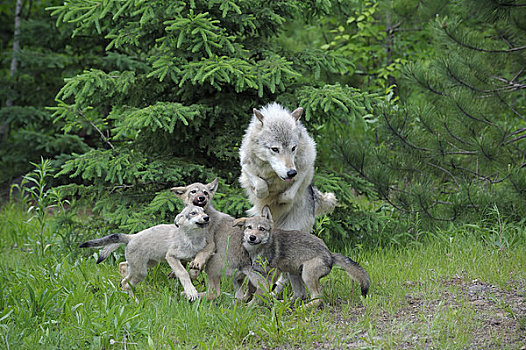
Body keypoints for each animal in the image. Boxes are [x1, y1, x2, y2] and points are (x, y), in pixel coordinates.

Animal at [78, 205, 210, 300]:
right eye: (193, 213)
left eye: (204, 211)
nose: (207, 217)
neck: (192, 239)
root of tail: (131, 237)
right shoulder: (171, 256)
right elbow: (183, 273)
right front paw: (191, 292)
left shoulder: (191, 257)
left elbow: (196, 267)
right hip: (141, 271)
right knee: (126, 283)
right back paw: (134, 302)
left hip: (147, 264)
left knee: (123, 267)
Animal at [236, 206, 372, 308]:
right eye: (249, 227)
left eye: (262, 229)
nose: (252, 237)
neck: (257, 250)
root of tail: (330, 254)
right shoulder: (255, 272)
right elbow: (251, 288)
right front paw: (244, 300)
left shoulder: (272, 273)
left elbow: (259, 292)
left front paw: (249, 306)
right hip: (293, 273)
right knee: (300, 295)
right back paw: (283, 303)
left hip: (306, 275)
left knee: (317, 297)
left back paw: (301, 308)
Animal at [240, 102, 338, 232]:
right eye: (275, 149)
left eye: (293, 148)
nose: (291, 173)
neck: (274, 174)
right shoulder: (245, 166)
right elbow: (261, 185)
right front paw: (261, 194)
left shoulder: (306, 168)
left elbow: (289, 194)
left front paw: (280, 199)